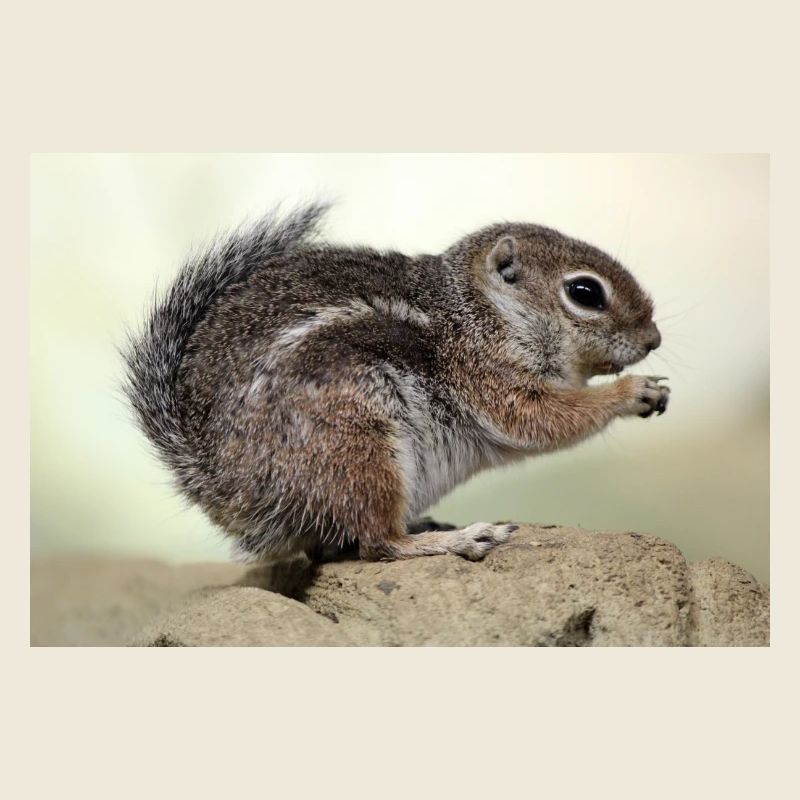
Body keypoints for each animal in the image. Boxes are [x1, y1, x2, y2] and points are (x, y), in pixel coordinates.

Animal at [123, 202, 669, 563]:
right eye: (585, 293)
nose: (654, 338)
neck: (481, 310)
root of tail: (217, 480)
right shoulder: (482, 371)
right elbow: (538, 418)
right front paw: (633, 391)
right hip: (357, 443)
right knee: (378, 544)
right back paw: (457, 539)